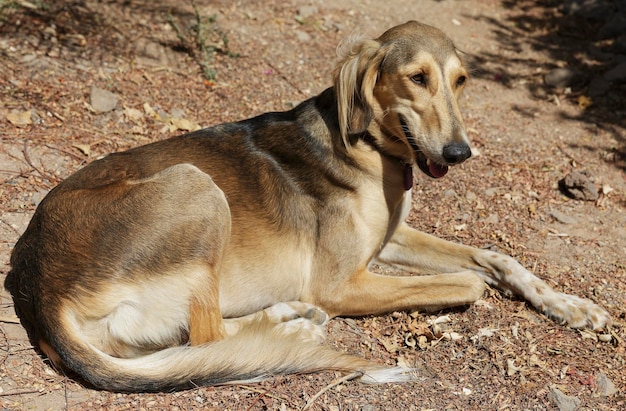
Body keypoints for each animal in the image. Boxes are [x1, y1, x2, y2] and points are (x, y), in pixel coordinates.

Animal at [4, 20, 608, 392]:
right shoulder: (342, 283)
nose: (460, 153)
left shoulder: (390, 239)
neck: (372, 149)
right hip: (197, 187)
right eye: (417, 78)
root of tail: (39, 287)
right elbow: (472, 283)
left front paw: (574, 307)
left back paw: (284, 318)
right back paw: (289, 329)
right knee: (208, 336)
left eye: (460, 81)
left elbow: (495, 259)